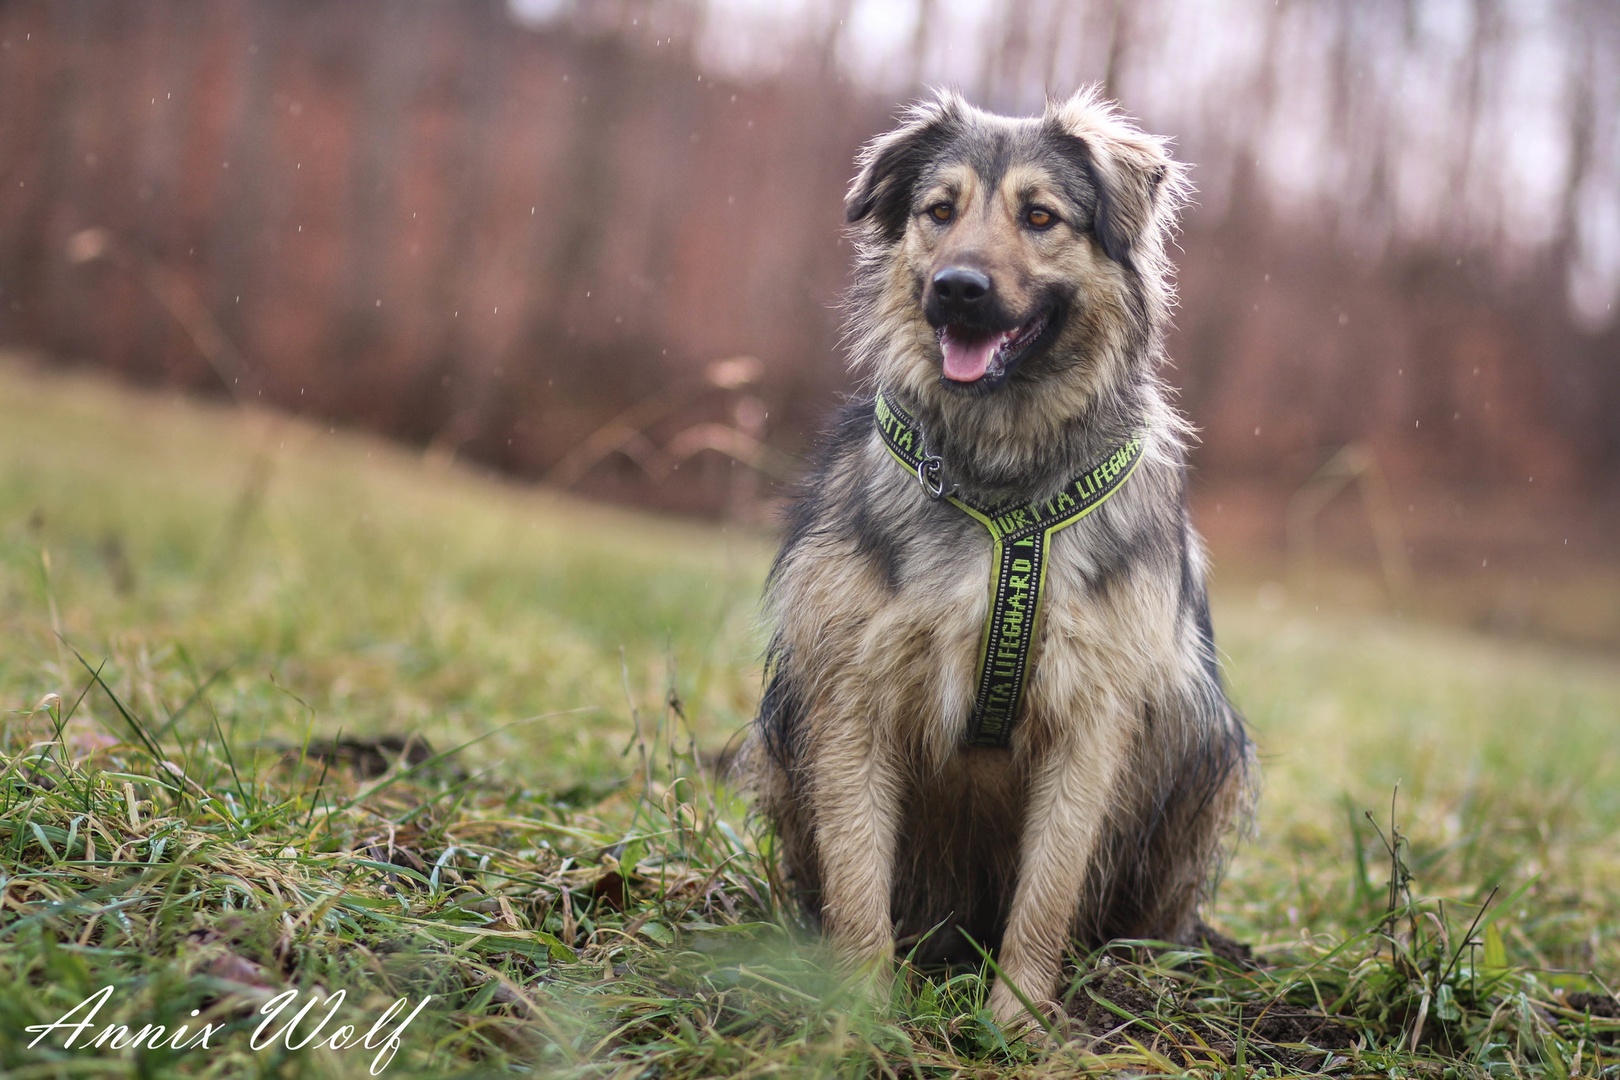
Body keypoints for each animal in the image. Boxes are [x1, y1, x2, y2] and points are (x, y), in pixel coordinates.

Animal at [738, 88, 1255, 1030]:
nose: (957, 289)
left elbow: (1048, 892)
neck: (1001, 481)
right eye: (939, 212)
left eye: (1039, 216)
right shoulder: (850, 696)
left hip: (1209, 752)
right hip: (777, 742)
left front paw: (1016, 1021)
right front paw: (858, 1012)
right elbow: (858, 879)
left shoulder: (1092, 713)